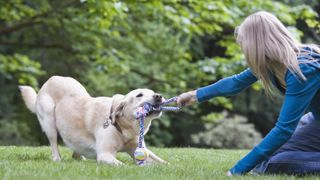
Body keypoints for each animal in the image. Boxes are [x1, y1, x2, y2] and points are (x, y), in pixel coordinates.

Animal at [19, 75, 166, 165]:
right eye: (139, 95)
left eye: (153, 92)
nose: (158, 96)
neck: (124, 129)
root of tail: (50, 80)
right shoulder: (104, 154)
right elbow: (123, 165)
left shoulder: (140, 150)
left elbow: (162, 162)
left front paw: (168, 166)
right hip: (49, 121)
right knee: (54, 143)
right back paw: (57, 159)